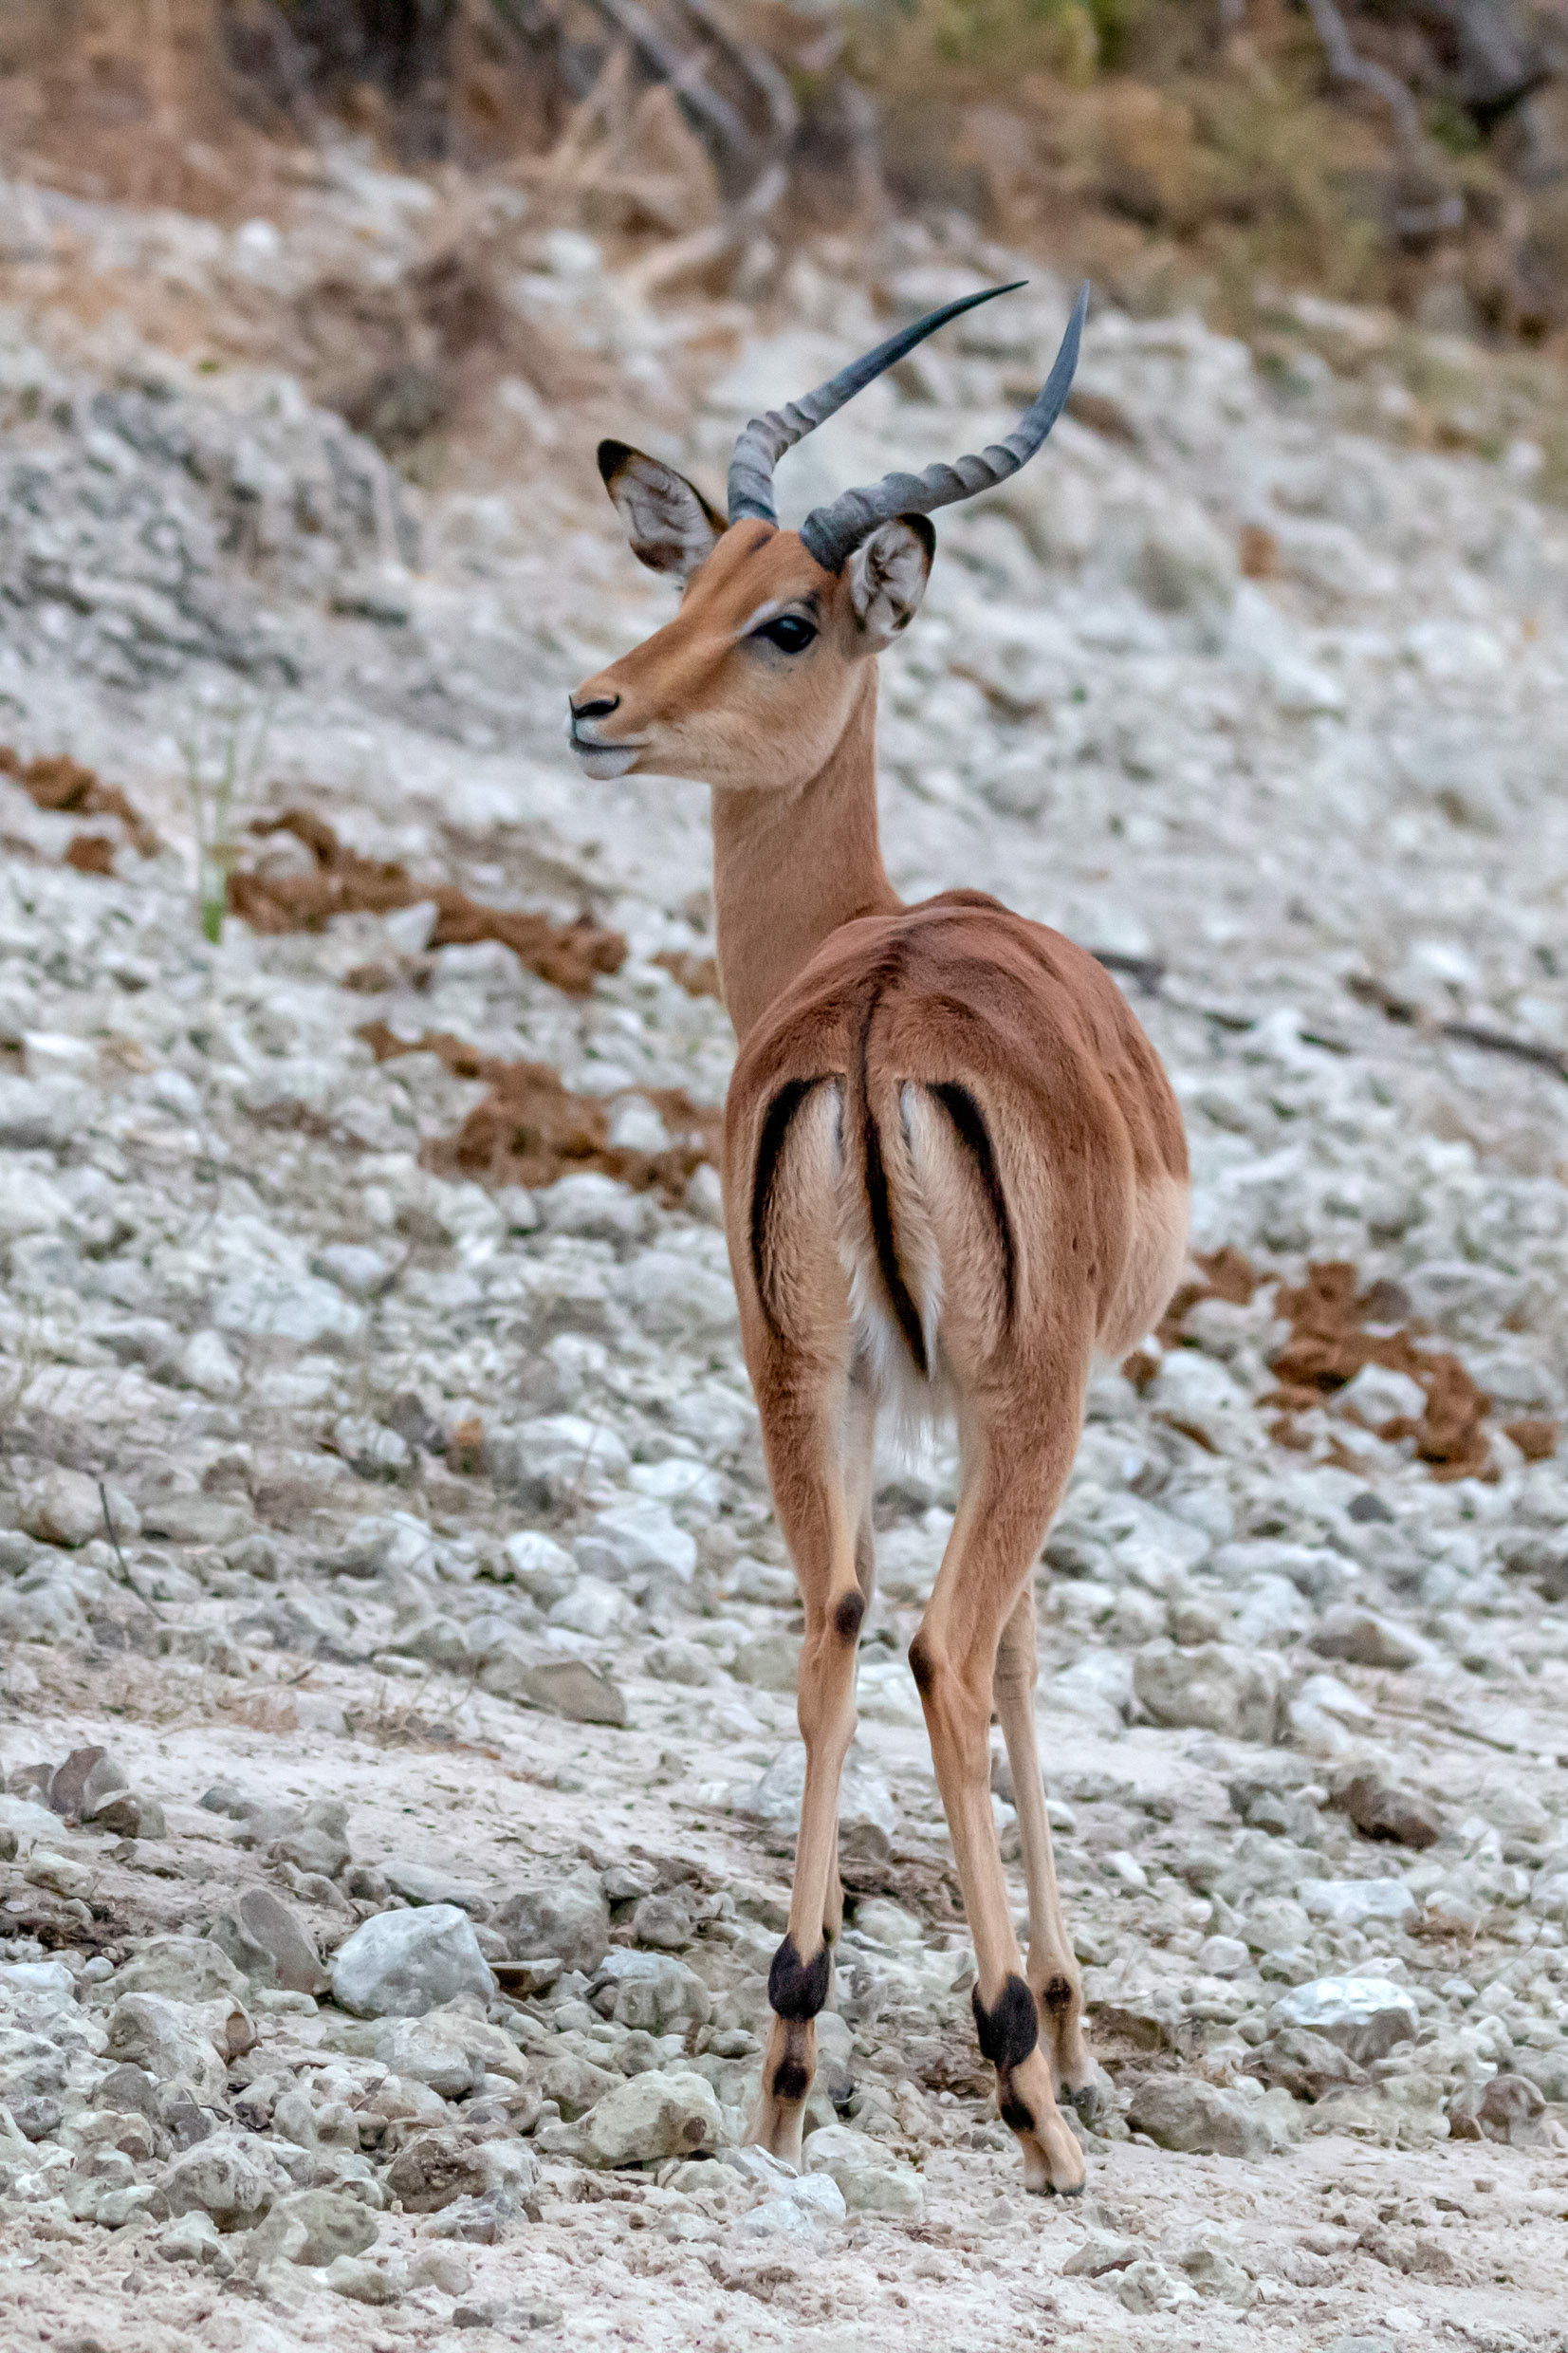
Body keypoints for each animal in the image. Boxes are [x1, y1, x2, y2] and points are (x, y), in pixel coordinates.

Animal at [569, 284, 1189, 2198]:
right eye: (697, 578)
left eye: (779, 612)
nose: (593, 705)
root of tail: (874, 1014)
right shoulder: (1030, 1407)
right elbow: (1030, 1664)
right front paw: (1063, 2022)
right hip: (1017, 1403)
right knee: (943, 1645)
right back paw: (1025, 2094)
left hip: (797, 1377)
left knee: (833, 1621)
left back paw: (784, 2051)